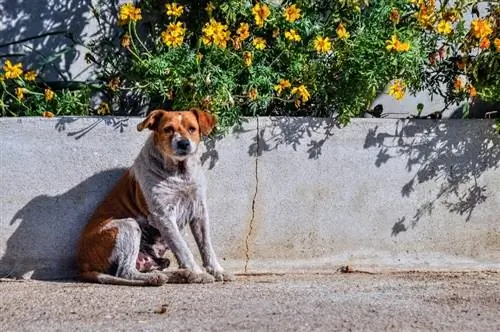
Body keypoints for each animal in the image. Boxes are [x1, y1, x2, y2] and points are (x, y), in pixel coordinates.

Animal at [77, 109, 233, 286]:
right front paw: (199, 273)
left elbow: (206, 246)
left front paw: (217, 271)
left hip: (155, 257)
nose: (183, 143)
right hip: (129, 226)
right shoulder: (164, 216)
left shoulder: (199, 213)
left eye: (192, 129)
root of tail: (82, 263)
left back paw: (181, 275)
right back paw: (158, 278)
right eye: (168, 129)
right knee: (126, 272)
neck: (180, 173)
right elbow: (183, 248)